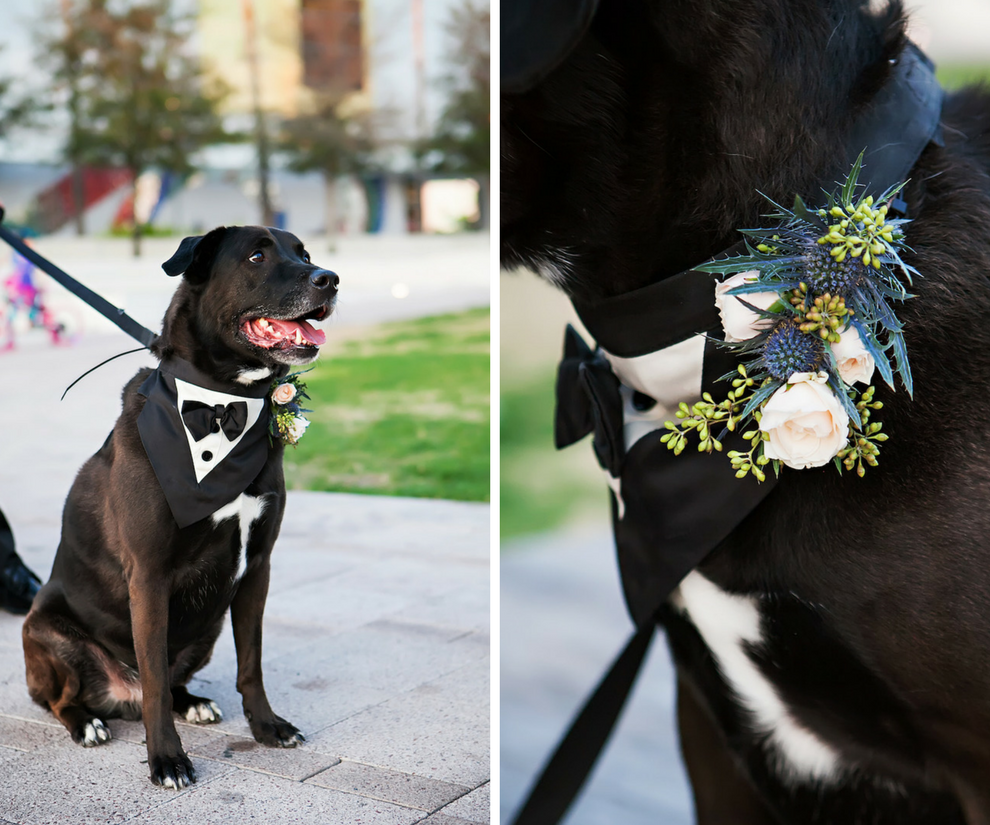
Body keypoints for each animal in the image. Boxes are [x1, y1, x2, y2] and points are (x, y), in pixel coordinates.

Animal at [19, 225, 336, 784]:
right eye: (257, 256)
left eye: (305, 253)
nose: (331, 279)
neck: (223, 402)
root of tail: (118, 698)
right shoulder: (148, 574)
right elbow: (154, 685)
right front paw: (166, 759)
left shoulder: (257, 567)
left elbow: (251, 665)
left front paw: (267, 727)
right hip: (42, 632)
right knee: (68, 698)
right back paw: (87, 723)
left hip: (207, 626)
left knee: (170, 681)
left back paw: (193, 702)